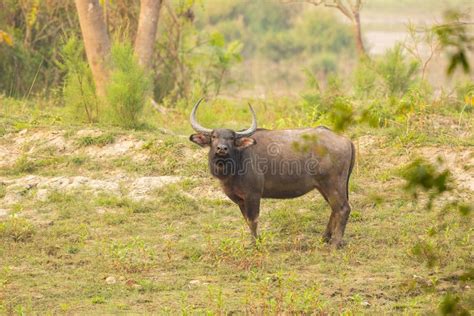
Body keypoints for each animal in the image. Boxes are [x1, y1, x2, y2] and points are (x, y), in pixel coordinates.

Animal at [189, 99, 356, 247]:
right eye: (214, 137)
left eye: (231, 138)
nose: (222, 149)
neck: (237, 162)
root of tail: (345, 140)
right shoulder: (241, 200)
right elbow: (246, 220)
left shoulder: (253, 195)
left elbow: (253, 220)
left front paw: (255, 244)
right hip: (323, 187)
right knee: (334, 209)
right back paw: (324, 238)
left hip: (333, 185)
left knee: (343, 209)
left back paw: (335, 243)